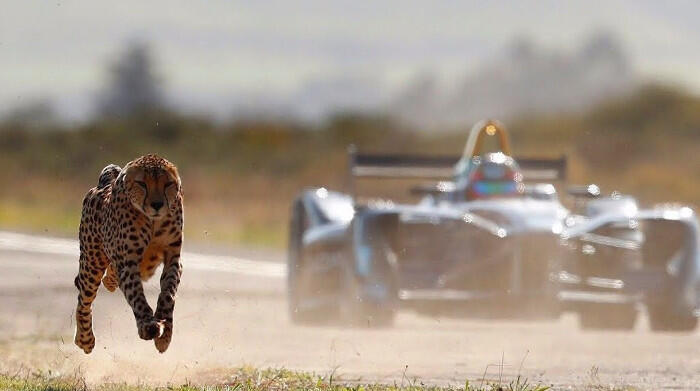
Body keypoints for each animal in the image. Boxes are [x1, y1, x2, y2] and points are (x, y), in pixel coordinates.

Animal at [74, 154, 183, 356]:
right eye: (142, 184)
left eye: (167, 184)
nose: (157, 205)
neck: (152, 221)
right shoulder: (127, 262)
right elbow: (136, 295)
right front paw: (148, 324)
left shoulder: (173, 258)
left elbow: (168, 293)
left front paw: (165, 334)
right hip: (92, 263)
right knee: (83, 298)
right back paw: (85, 339)